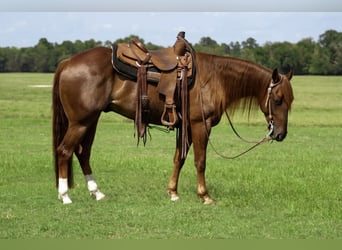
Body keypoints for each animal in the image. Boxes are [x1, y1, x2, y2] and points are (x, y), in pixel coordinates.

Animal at [51, 42, 294, 205]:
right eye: (278, 99)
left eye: (291, 101)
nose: (280, 134)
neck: (214, 78)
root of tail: (67, 62)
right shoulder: (200, 125)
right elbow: (200, 161)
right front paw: (205, 196)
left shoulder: (186, 128)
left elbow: (179, 159)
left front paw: (173, 192)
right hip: (80, 122)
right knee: (64, 151)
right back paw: (64, 195)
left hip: (91, 121)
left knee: (82, 153)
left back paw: (97, 192)